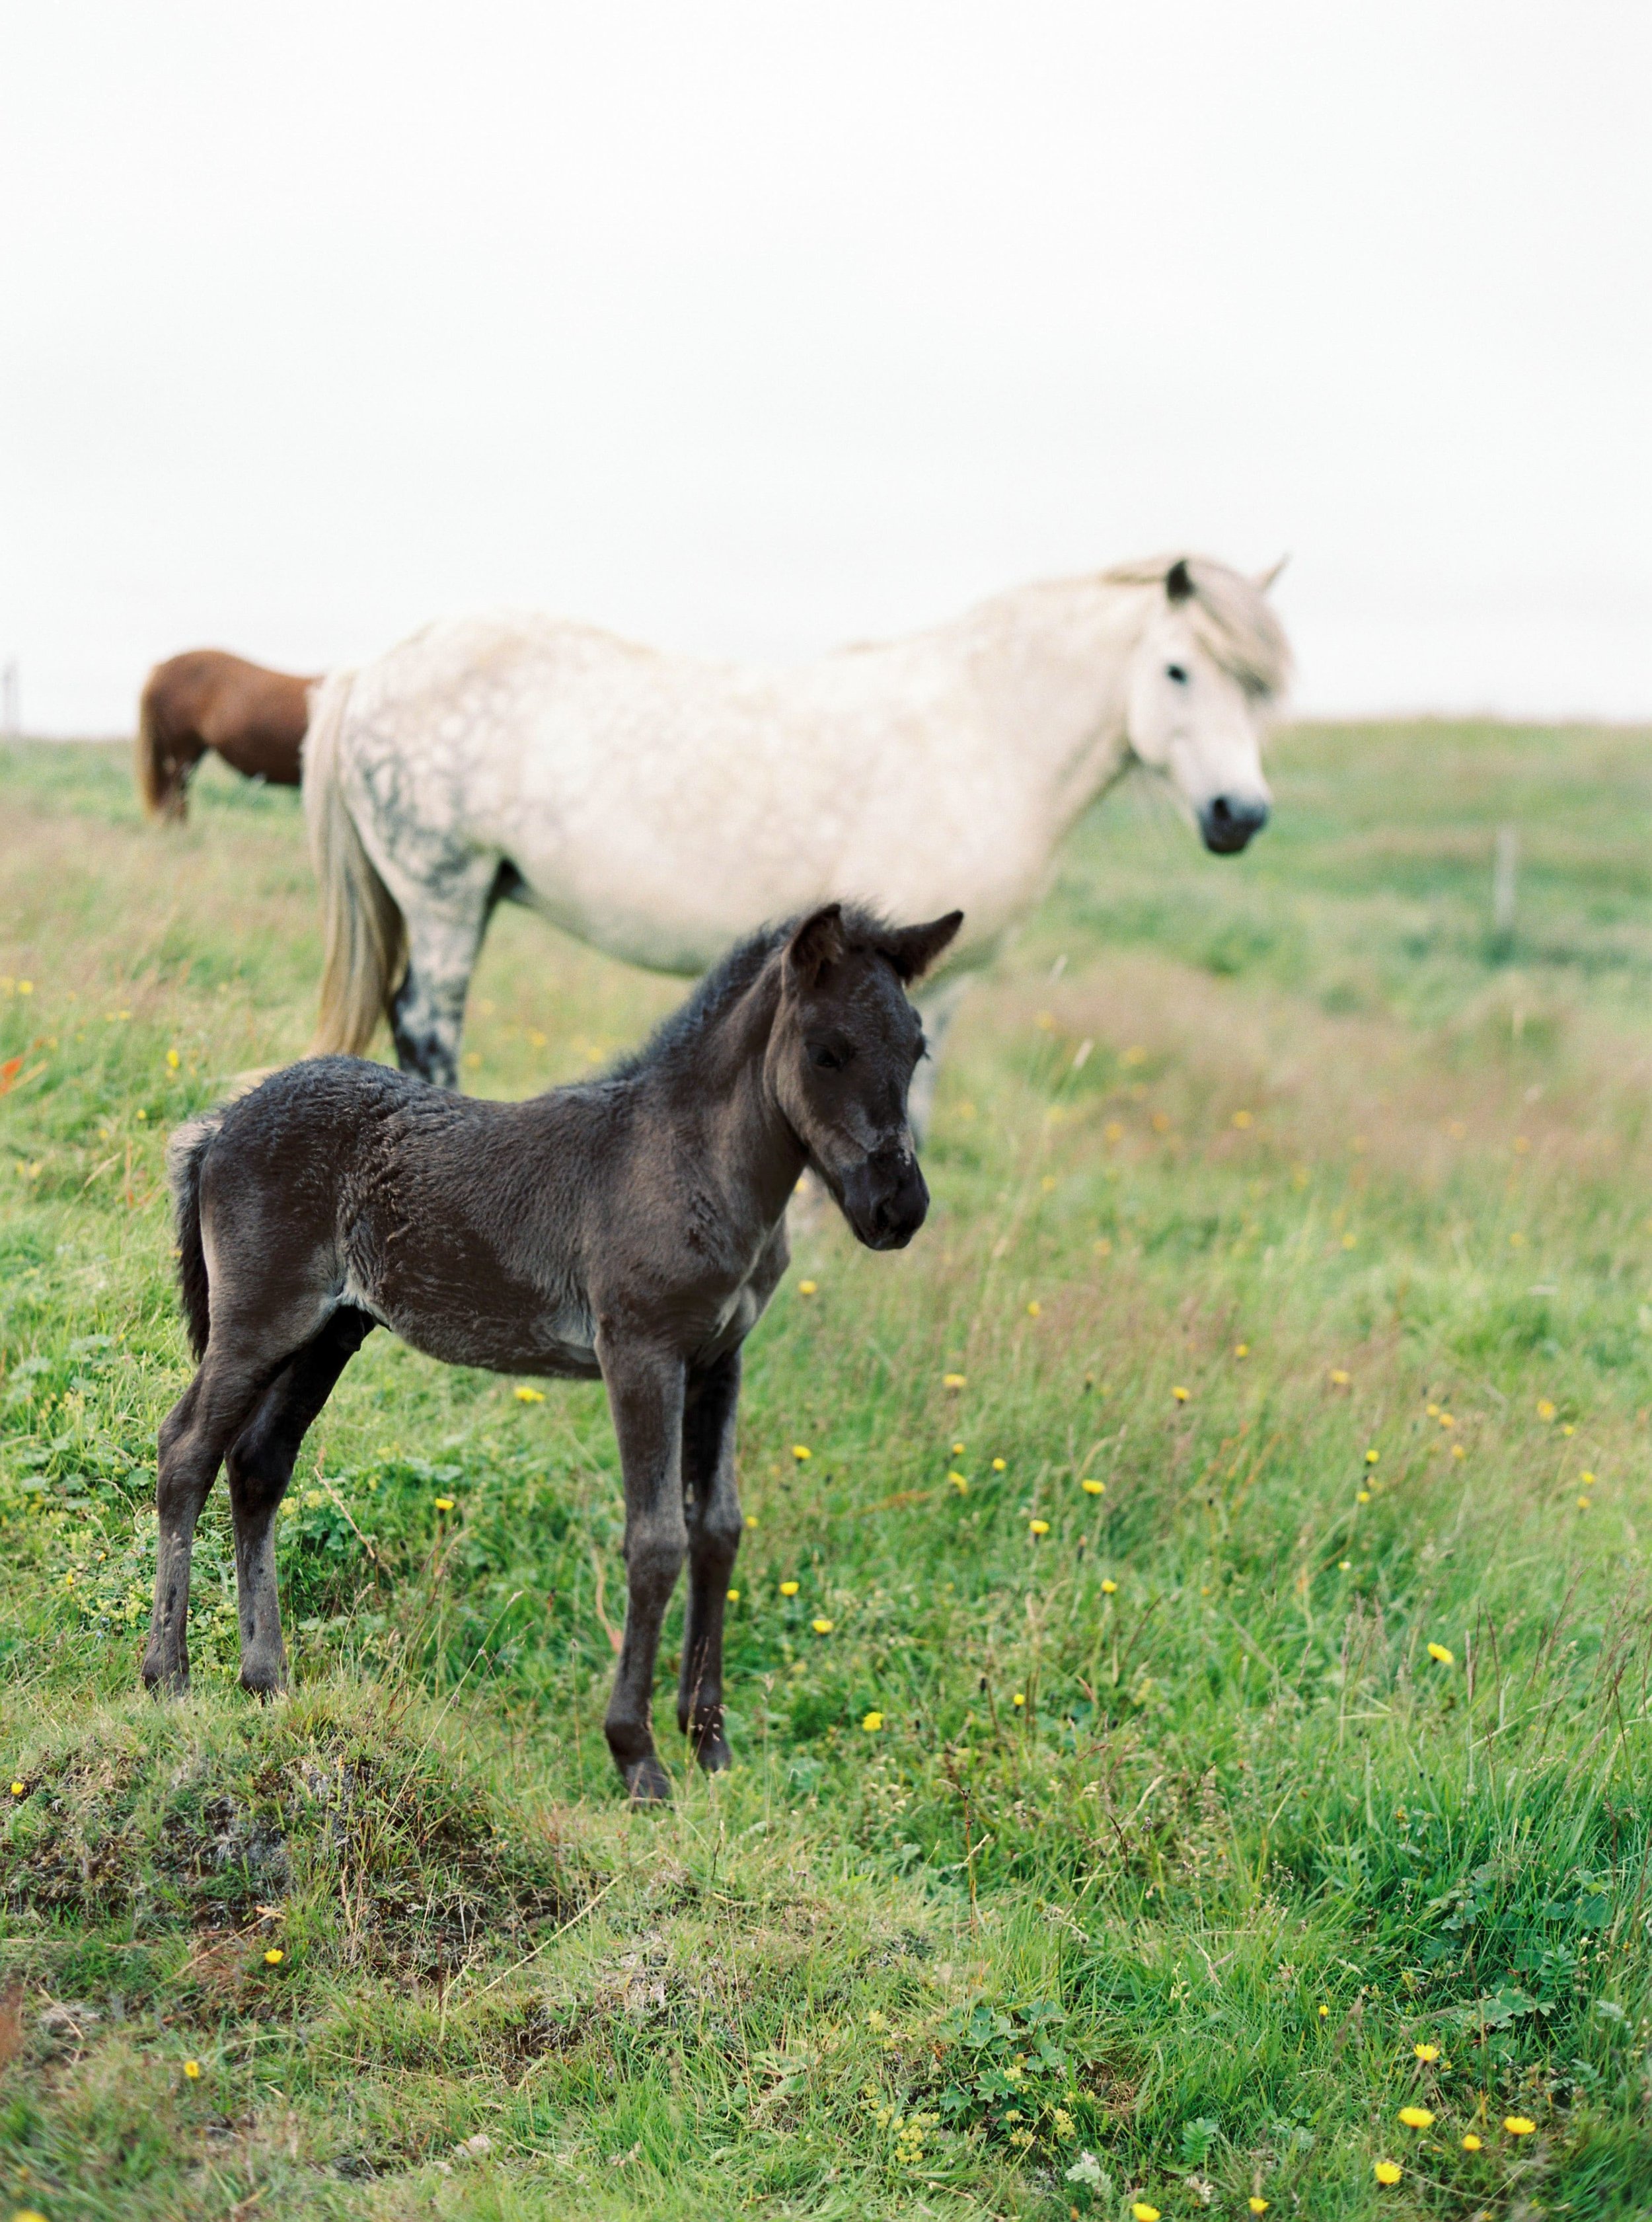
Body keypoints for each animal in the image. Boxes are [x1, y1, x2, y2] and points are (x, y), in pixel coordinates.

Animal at [149, 906, 968, 1804]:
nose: (898, 1207)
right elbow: (656, 1540)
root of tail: (221, 1124)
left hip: (330, 1332)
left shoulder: (720, 1359)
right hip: (260, 1320)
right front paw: (638, 1756)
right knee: (186, 1448)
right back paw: (168, 1678)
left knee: (260, 1462)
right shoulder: (641, 1351)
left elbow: (718, 1529)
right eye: (826, 1050)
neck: (689, 1163)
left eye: (918, 1048)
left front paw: (710, 1743)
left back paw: (266, 1680)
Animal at [306, 555, 1287, 1111]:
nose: (1240, 814)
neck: (982, 731)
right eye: (1178, 671)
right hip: (444, 892)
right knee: (428, 1023)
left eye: (1258, 691)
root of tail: (374, 667)